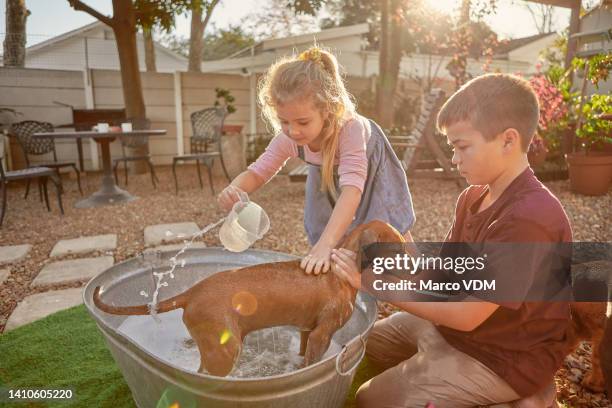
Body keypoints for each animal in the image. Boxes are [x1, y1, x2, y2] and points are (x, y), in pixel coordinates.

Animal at [92, 220, 406, 376]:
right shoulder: (321, 335)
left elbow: (302, 355)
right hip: (225, 352)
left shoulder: (308, 333)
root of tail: (192, 292)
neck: (339, 271)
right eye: (399, 249)